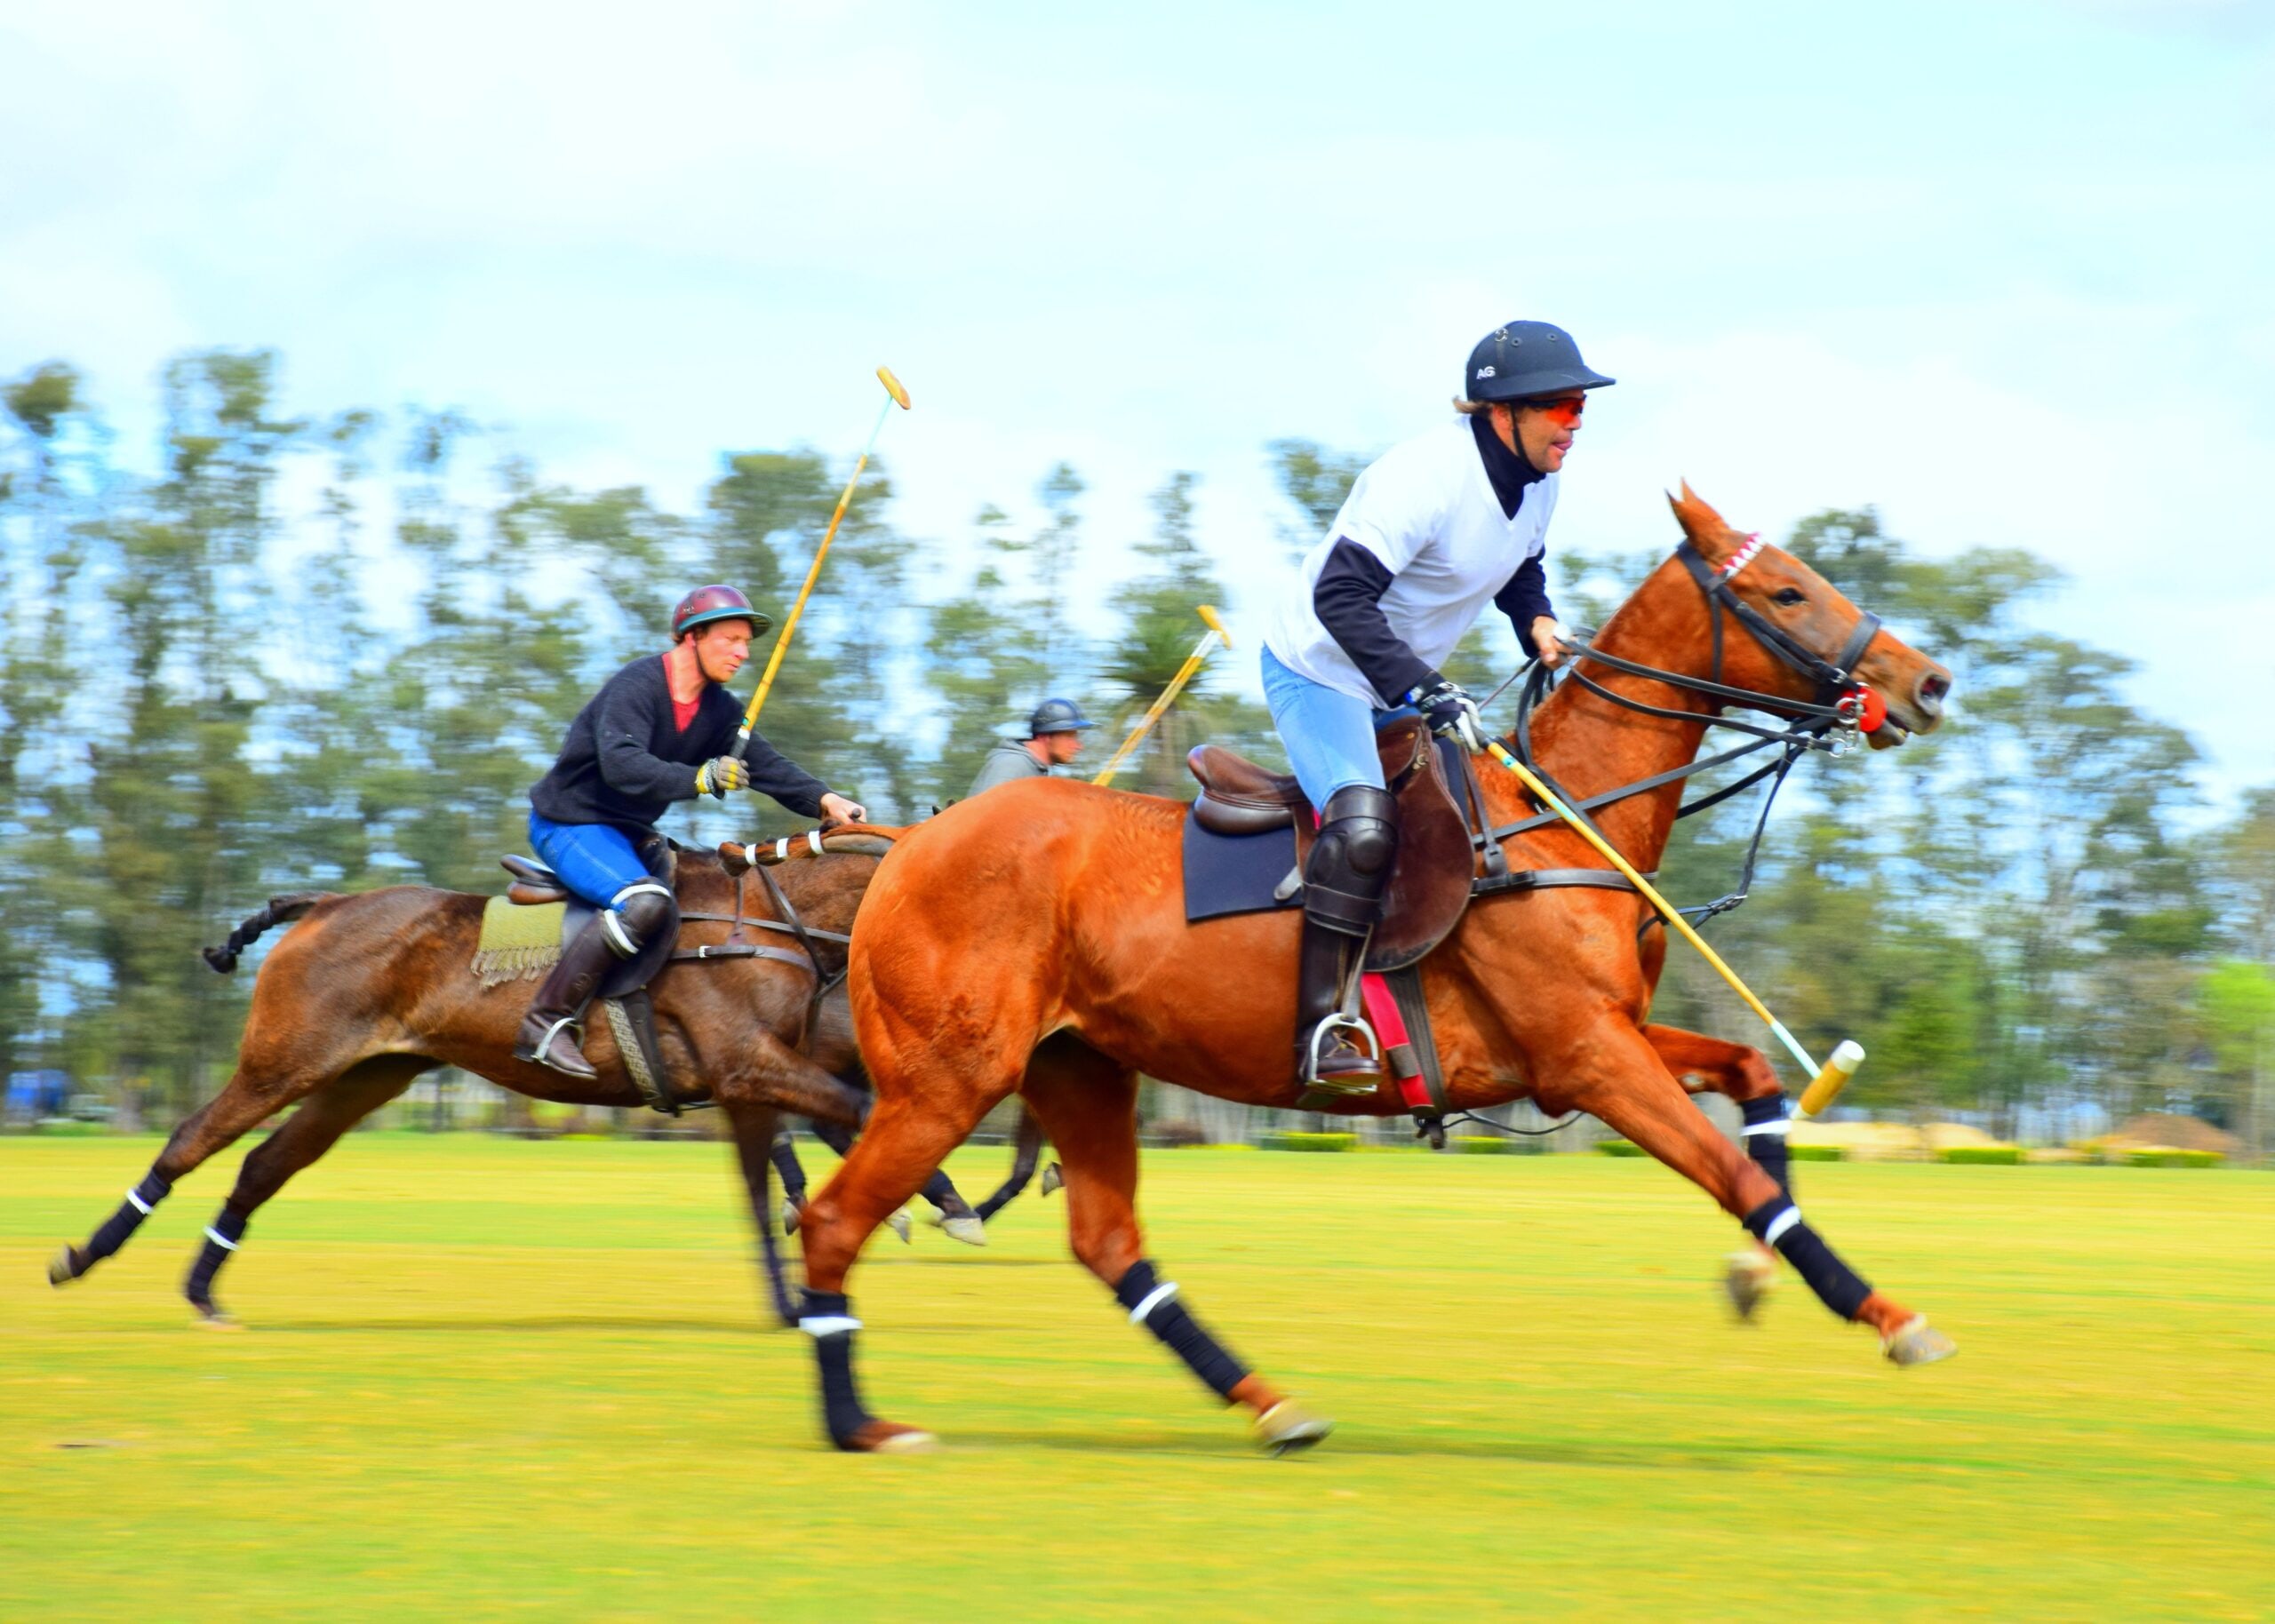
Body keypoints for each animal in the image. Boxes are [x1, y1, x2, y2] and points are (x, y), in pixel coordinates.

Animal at [49, 841, 891, 1318]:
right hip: (283, 1059)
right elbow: (855, 1117)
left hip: (365, 1076)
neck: (770, 927)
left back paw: (202, 1288)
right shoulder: (750, 1067)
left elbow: (767, 1188)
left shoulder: (749, 1087)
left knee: (264, 1163)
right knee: (191, 1140)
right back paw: (85, 1257)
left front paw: (797, 1298)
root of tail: (328, 902)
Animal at [796, 486, 1956, 1446]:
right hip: (949, 1076)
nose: (1929, 681)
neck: (1558, 819)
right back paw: (860, 1423)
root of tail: (906, 844)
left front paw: (1754, 1280)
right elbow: (1736, 1172)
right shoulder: (1586, 1057)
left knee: (1107, 1240)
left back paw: (1272, 1406)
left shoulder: (1594, 1040)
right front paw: (1897, 1319)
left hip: (1078, 1066)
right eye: (1786, 589)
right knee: (834, 1217)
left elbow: (1756, 1083)